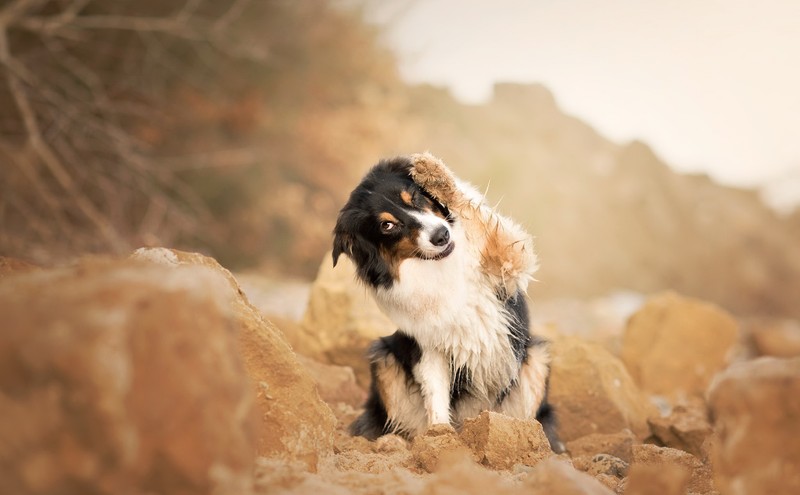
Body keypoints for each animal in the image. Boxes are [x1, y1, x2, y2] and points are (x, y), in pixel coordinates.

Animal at [332, 153, 564, 452]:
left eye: (415, 197)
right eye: (387, 225)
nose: (441, 235)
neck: (438, 265)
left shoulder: (508, 262)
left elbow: (484, 222)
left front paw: (436, 175)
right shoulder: (428, 346)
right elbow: (435, 395)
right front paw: (441, 440)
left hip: (536, 356)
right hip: (383, 357)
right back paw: (393, 443)